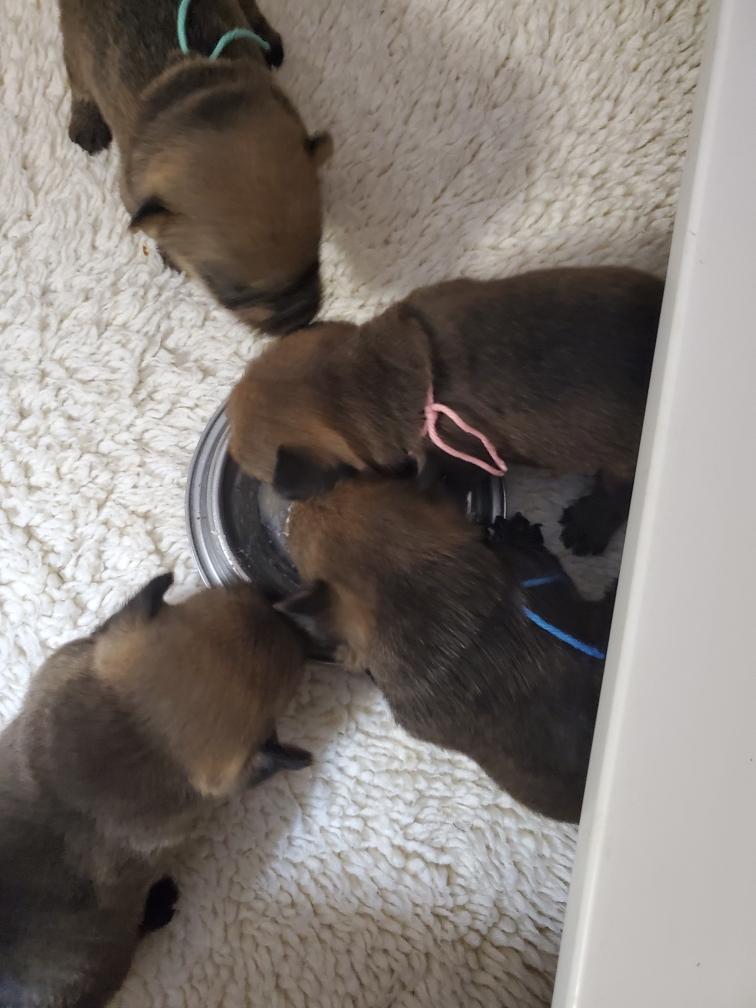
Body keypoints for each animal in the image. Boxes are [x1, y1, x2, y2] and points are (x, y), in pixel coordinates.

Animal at [59, 0, 332, 333]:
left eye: (315, 258)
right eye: (234, 294)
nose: (301, 320)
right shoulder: (131, 192)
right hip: (75, 45)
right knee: (80, 83)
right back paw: (87, 124)